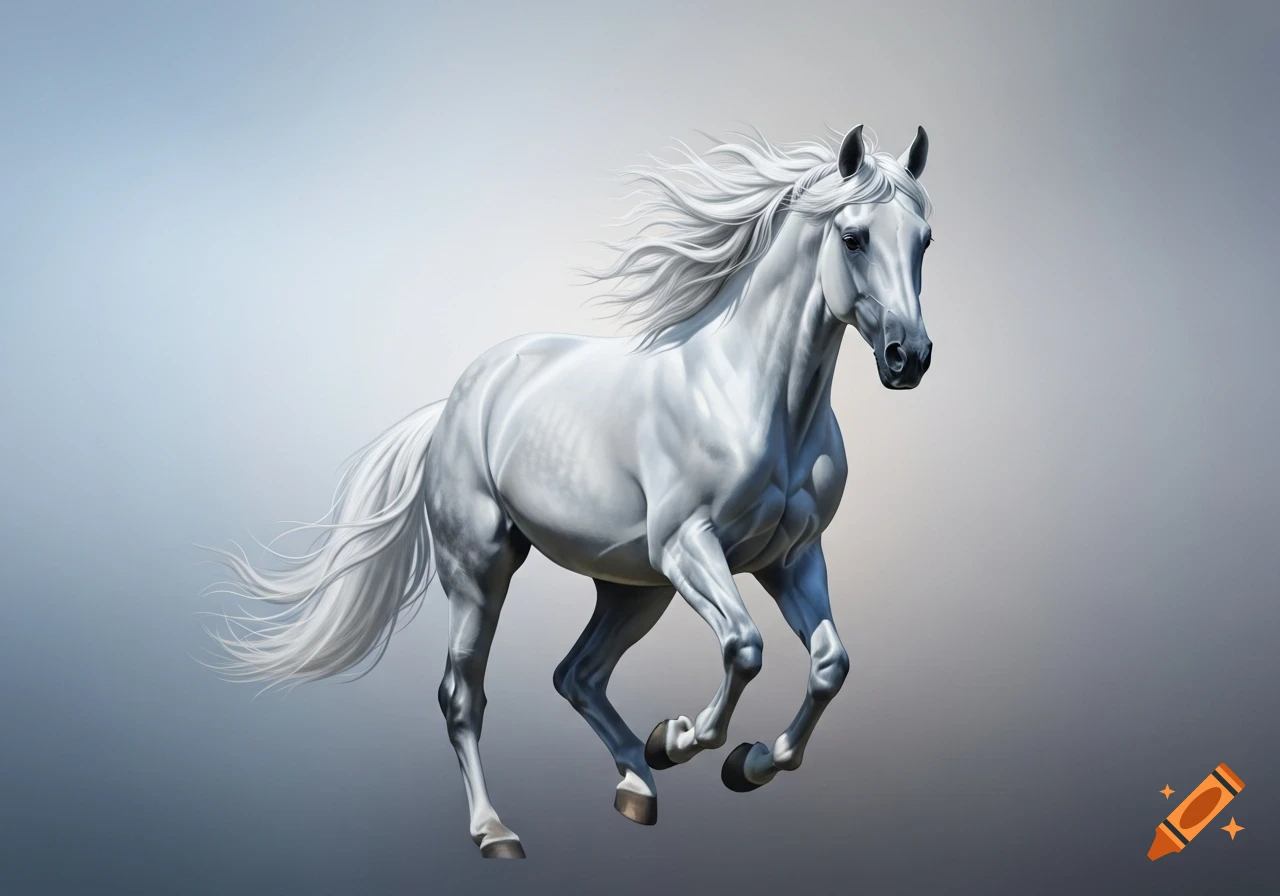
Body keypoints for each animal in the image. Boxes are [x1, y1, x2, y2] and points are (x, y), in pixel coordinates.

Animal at [205, 123, 935, 859]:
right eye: (853, 237)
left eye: (925, 240)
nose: (910, 357)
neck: (753, 397)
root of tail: (454, 404)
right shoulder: (690, 545)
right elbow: (744, 647)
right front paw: (681, 737)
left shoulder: (789, 557)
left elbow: (830, 664)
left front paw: (747, 764)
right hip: (484, 571)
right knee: (463, 694)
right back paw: (497, 830)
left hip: (636, 587)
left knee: (576, 674)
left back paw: (637, 784)